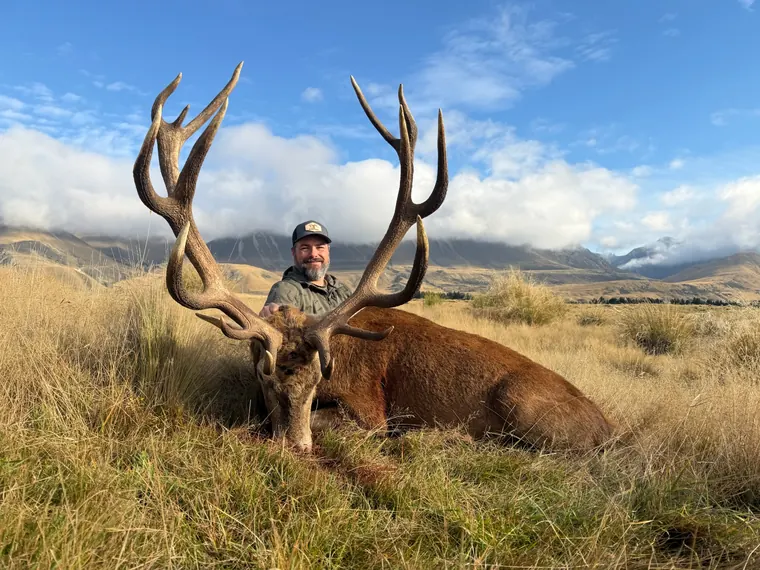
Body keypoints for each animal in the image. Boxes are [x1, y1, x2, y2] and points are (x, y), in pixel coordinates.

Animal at [133, 62, 614, 455]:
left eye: (318, 380)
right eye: (266, 378)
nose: (296, 445)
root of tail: (608, 430)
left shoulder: (370, 412)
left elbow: (334, 422)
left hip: (523, 405)